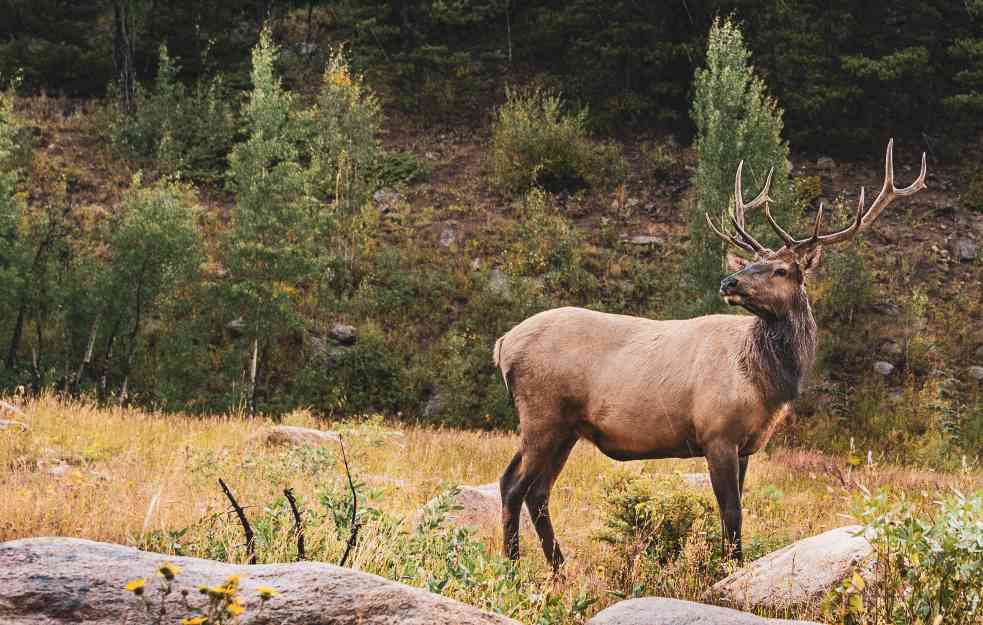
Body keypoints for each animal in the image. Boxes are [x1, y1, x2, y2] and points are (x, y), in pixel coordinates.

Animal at [496, 140, 928, 564]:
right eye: (753, 261)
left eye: (781, 270)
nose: (729, 281)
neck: (765, 383)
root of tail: (503, 345)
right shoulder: (716, 432)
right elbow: (732, 513)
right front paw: (729, 569)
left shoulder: (746, 445)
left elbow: (731, 514)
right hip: (542, 414)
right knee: (512, 485)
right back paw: (513, 565)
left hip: (566, 427)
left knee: (538, 492)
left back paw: (559, 568)